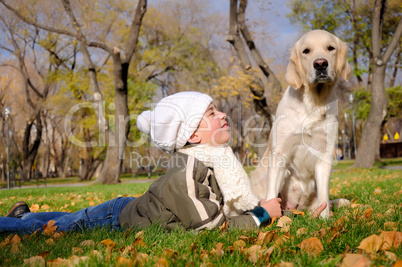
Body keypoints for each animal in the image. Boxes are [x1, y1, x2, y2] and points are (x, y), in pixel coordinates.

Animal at [251, 29, 352, 218]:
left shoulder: (325, 155)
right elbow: (271, 196)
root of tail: (296, 207)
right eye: (306, 51)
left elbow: (324, 198)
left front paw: (325, 219)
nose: (320, 64)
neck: (313, 103)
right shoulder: (280, 153)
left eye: (330, 48)